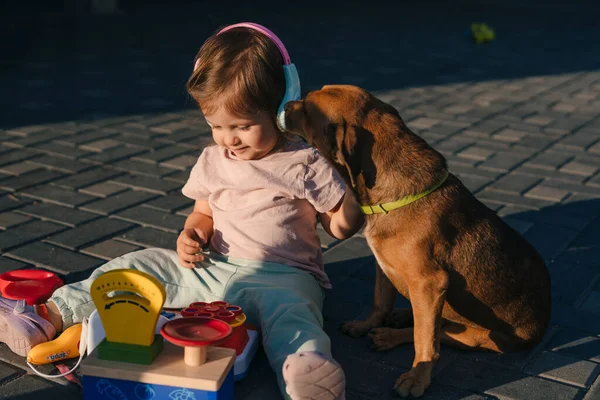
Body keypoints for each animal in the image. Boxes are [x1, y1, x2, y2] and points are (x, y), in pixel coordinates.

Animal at [284, 85, 552, 396]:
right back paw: (398, 319)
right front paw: (367, 324)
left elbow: (425, 343)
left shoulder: (429, 283)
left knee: (442, 334)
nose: (285, 105)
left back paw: (393, 335)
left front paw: (416, 378)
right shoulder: (383, 266)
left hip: (480, 336)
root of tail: (543, 324)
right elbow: (380, 301)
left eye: (307, 110)